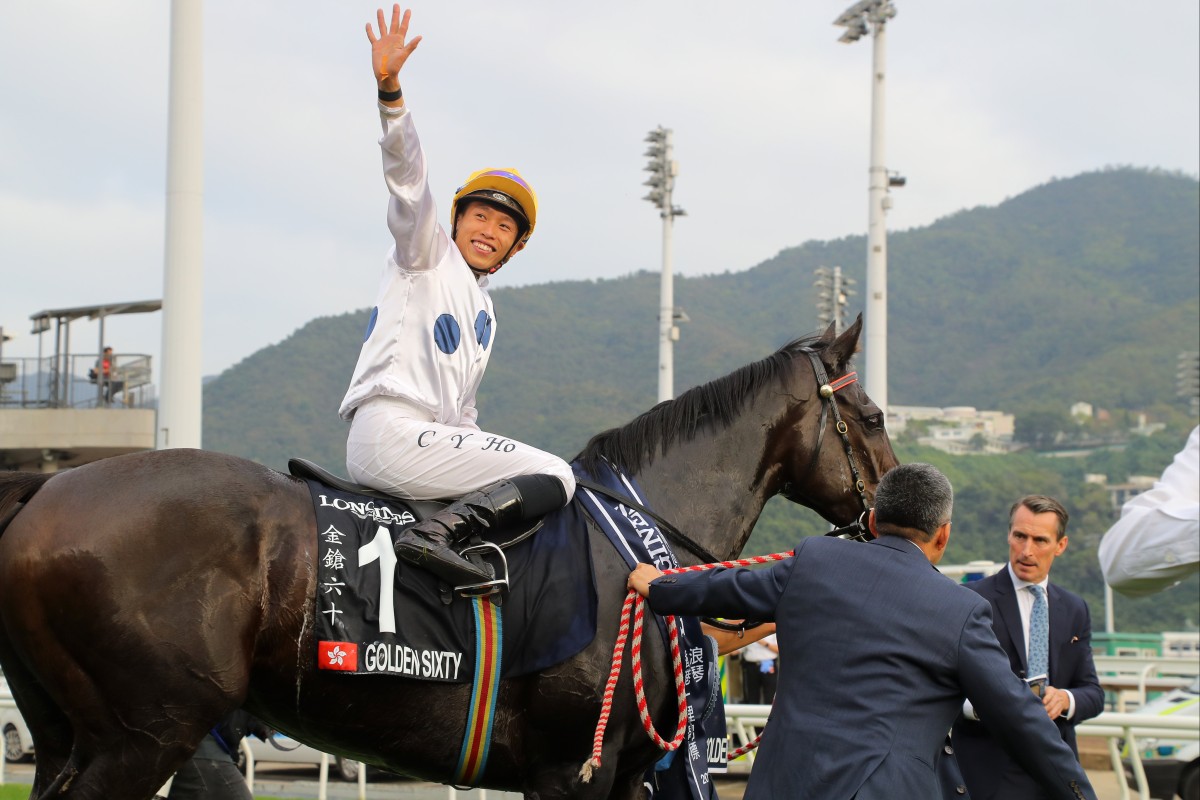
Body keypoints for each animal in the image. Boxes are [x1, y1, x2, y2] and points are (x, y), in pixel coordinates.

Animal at [0, 319, 897, 800]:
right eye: (875, 416)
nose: (904, 508)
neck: (636, 549)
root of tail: (47, 487)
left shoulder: (625, 774)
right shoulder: (572, 767)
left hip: (71, 734)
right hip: (148, 732)